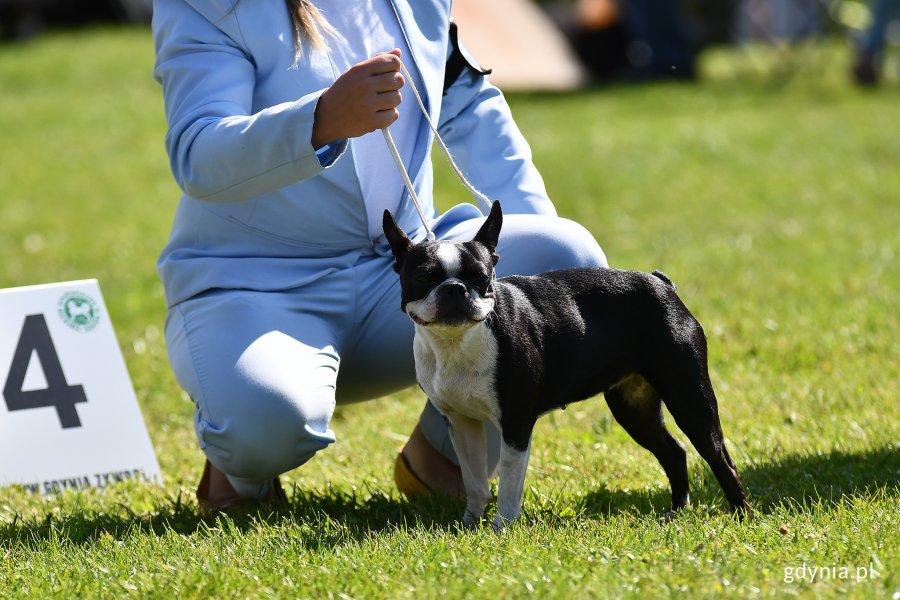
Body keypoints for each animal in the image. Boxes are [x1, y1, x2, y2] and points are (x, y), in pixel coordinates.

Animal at [384, 203, 748, 528]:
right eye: (423, 276)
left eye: (482, 277)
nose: (455, 288)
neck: (455, 341)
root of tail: (661, 283)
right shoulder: (461, 423)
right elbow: (474, 481)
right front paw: (470, 524)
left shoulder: (516, 424)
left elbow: (509, 485)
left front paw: (502, 528)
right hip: (634, 406)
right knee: (674, 452)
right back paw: (676, 512)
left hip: (689, 397)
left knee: (720, 458)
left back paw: (741, 516)